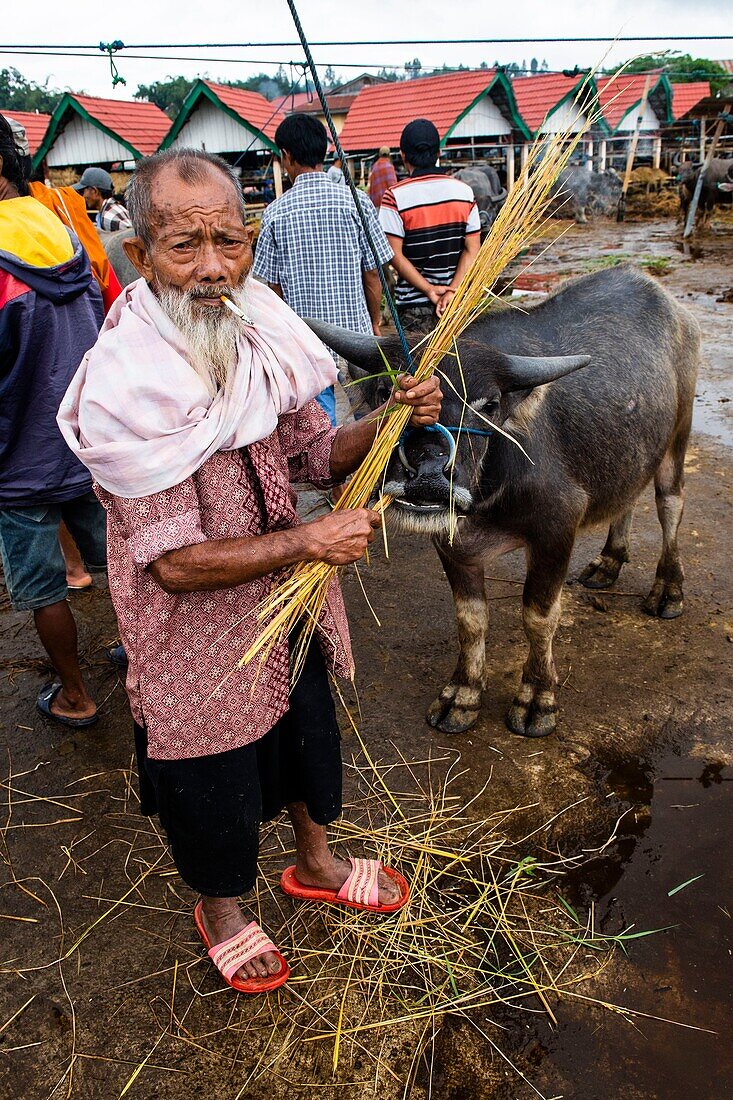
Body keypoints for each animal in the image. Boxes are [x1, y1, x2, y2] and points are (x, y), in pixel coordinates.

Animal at [305, 266, 699, 739]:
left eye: (488, 404)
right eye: (387, 392)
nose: (429, 474)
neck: (488, 498)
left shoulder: (556, 530)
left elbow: (539, 616)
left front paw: (537, 699)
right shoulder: (452, 544)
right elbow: (470, 618)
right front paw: (464, 693)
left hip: (678, 436)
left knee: (670, 504)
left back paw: (668, 590)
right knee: (627, 498)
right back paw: (608, 562)